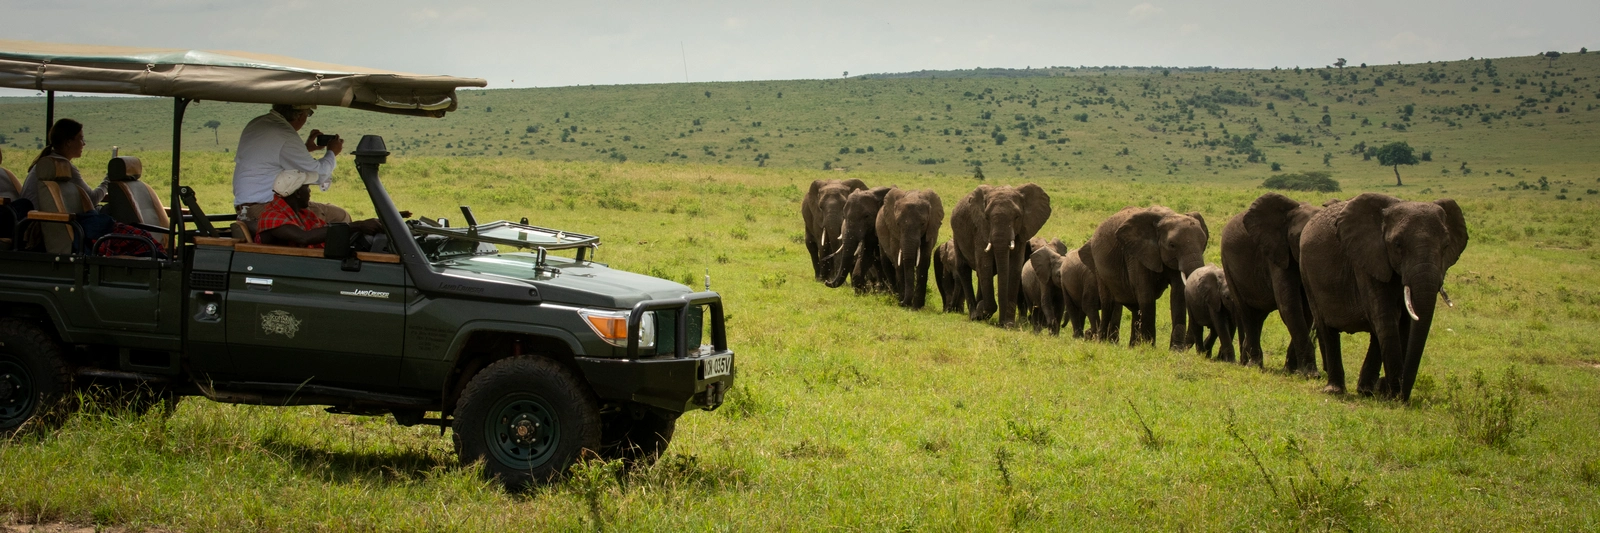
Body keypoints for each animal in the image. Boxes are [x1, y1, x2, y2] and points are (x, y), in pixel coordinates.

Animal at [950, 184, 1052, 327]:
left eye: (1017, 217)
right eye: (986, 217)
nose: (1001, 323)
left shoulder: (1022, 231)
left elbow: (1015, 267)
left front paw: (1008, 324)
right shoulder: (980, 230)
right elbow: (985, 264)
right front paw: (982, 311)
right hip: (957, 235)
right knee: (964, 269)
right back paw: (975, 315)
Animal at [1086, 206, 1209, 348]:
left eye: (1204, 243)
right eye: (1172, 245)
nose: (1185, 347)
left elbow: (1178, 296)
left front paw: (1175, 350)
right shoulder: (1137, 254)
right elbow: (1146, 295)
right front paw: (1150, 347)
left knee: (1136, 308)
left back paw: (1133, 347)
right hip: (1098, 266)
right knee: (1108, 303)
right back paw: (1102, 342)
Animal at [1220, 192, 1323, 373]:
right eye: (1298, 237)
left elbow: (1306, 311)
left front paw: (1292, 371)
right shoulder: (1277, 253)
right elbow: (1289, 306)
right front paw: (1310, 373)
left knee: (1259, 316)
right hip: (1228, 266)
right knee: (1247, 313)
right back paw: (1253, 365)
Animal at [1300, 193, 1468, 401]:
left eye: (1446, 246)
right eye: (1397, 245)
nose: (1402, 396)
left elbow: (1403, 323)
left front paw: (1386, 391)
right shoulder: (1366, 259)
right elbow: (1386, 318)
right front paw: (1392, 394)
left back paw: (1365, 391)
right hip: (1307, 274)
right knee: (1326, 327)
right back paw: (1335, 390)